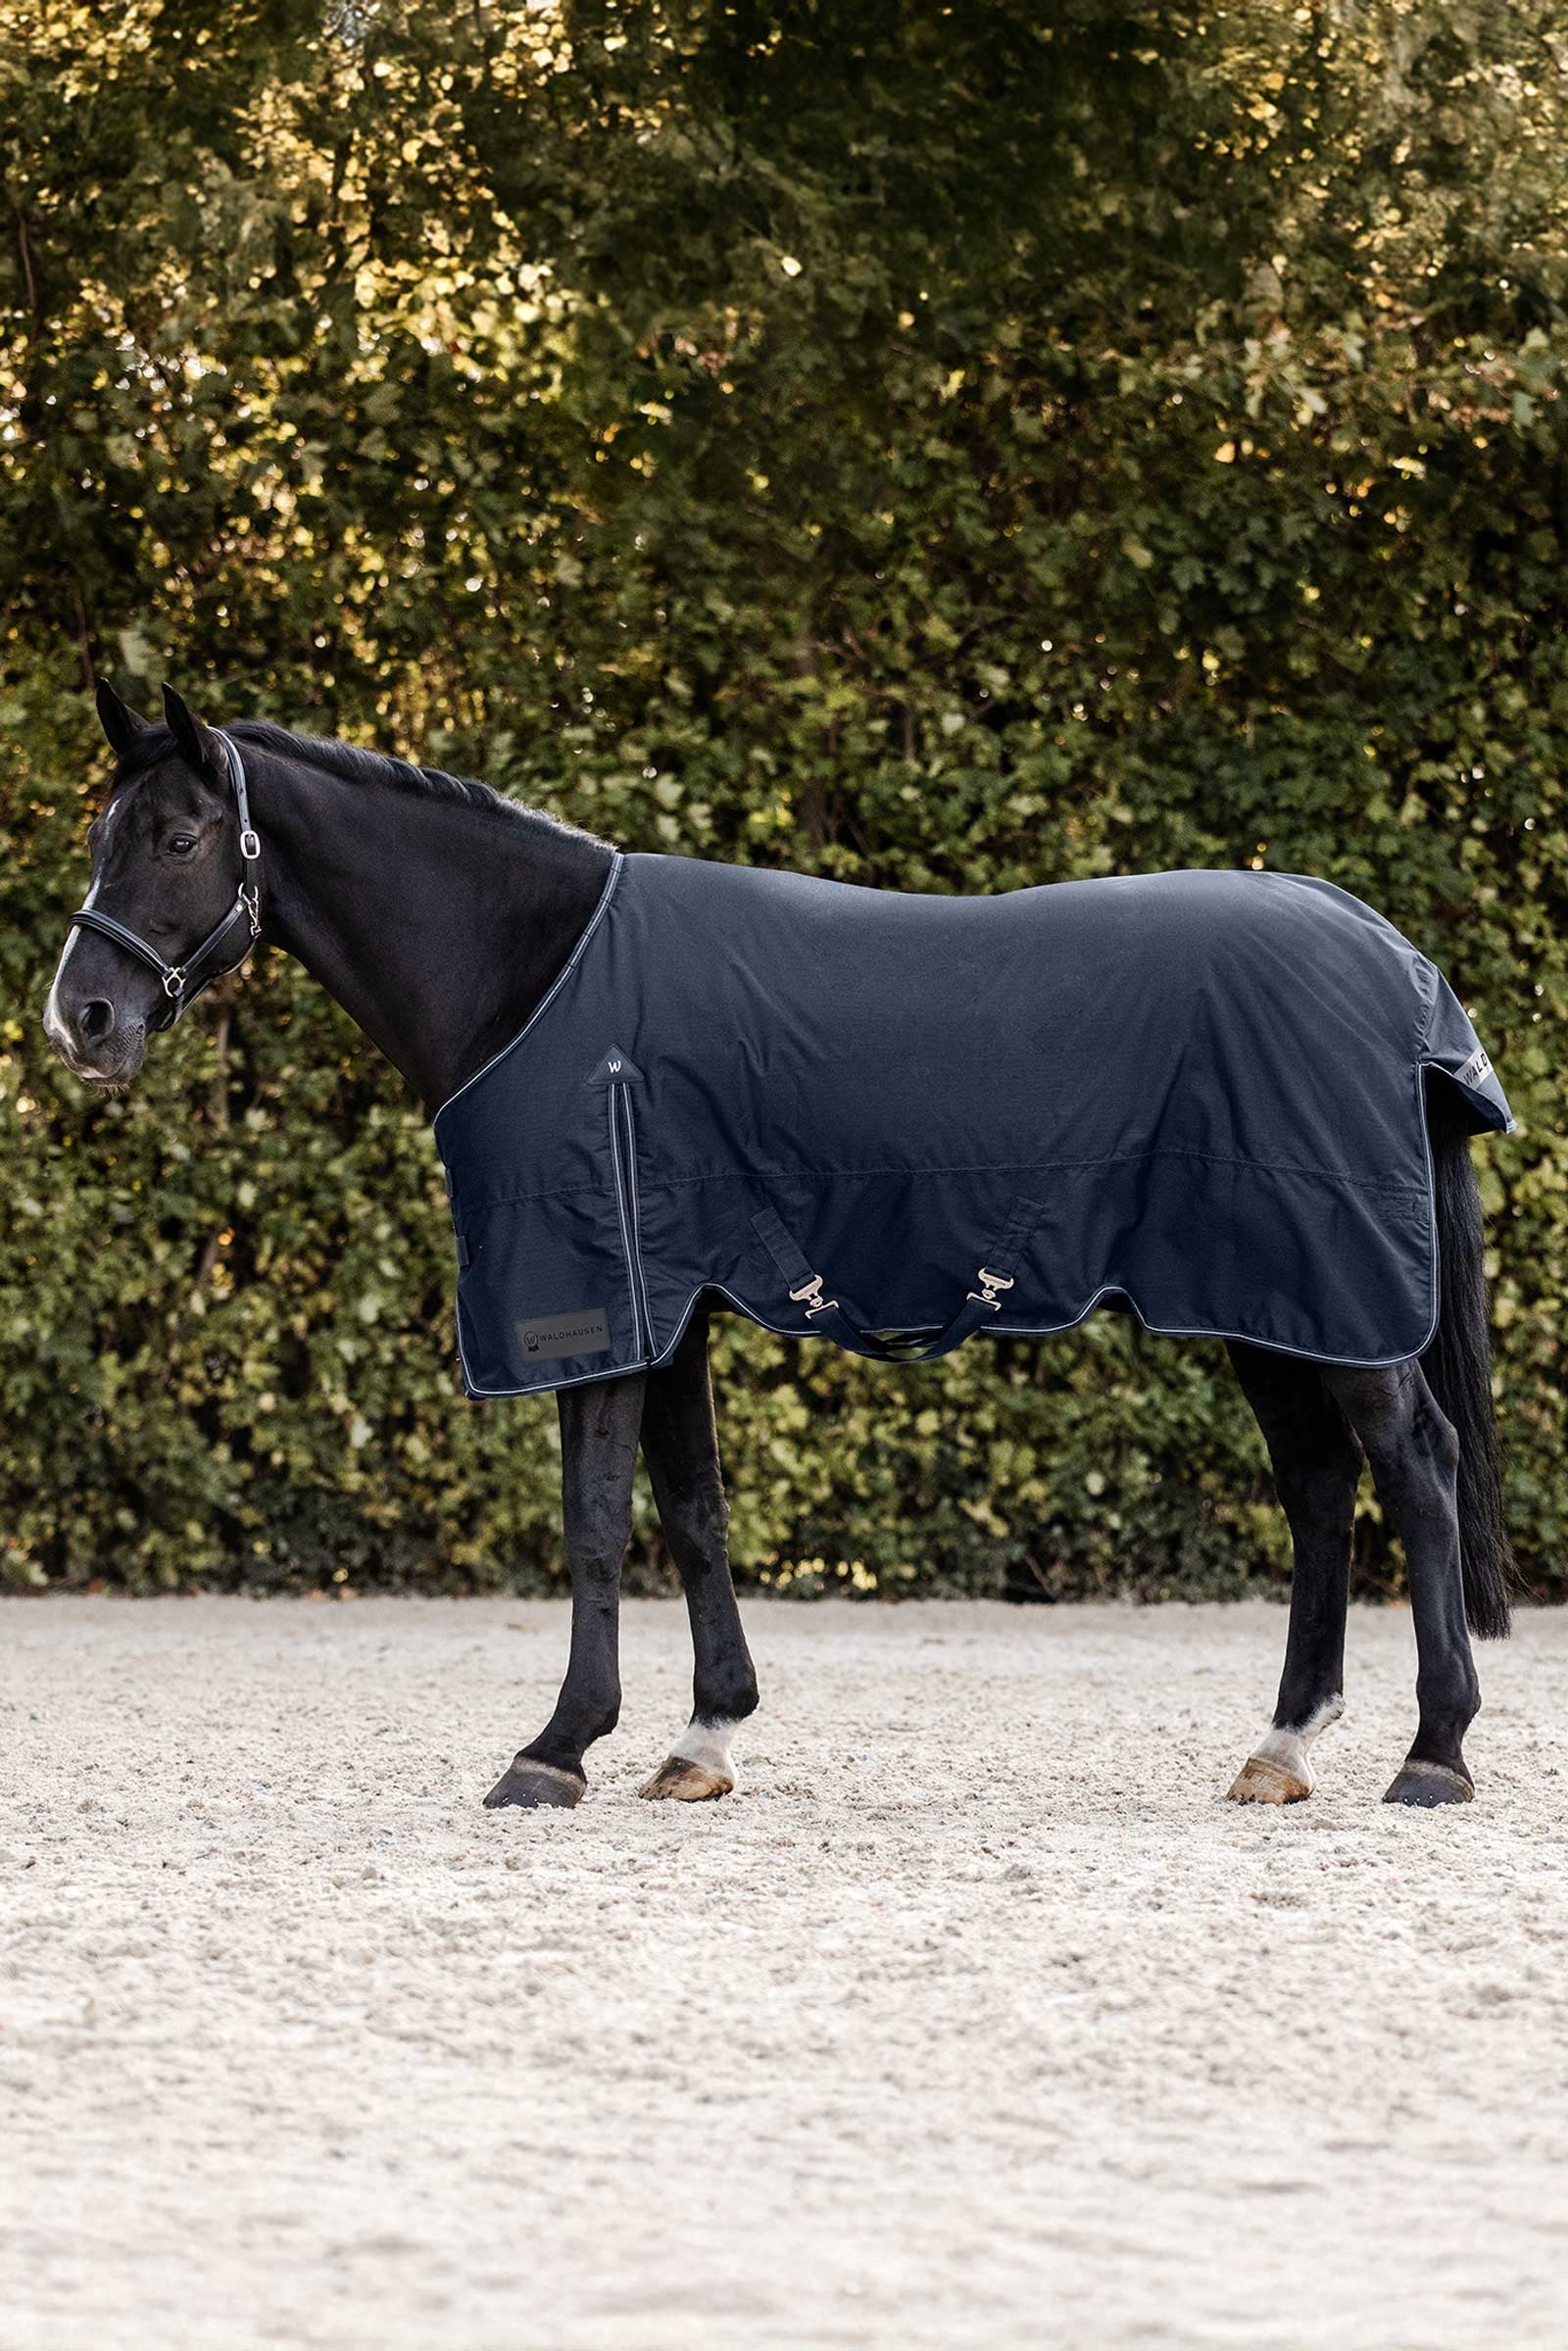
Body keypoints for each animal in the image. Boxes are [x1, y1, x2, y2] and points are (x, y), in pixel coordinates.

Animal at [44, 680, 1515, 1814]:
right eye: (104, 827)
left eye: (180, 833)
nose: (82, 1020)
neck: (538, 974)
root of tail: (1386, 956)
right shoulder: (671, 1300)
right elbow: (692, 1508)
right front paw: (702, 1736)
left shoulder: (597, 1301)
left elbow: (594, 1518)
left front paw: (556, 1746)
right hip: (1264, 1296)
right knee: (1320, 1483)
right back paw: (1282, 1745)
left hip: (1325, 1289)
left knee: (1415, 1464)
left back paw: (1434, 1752)